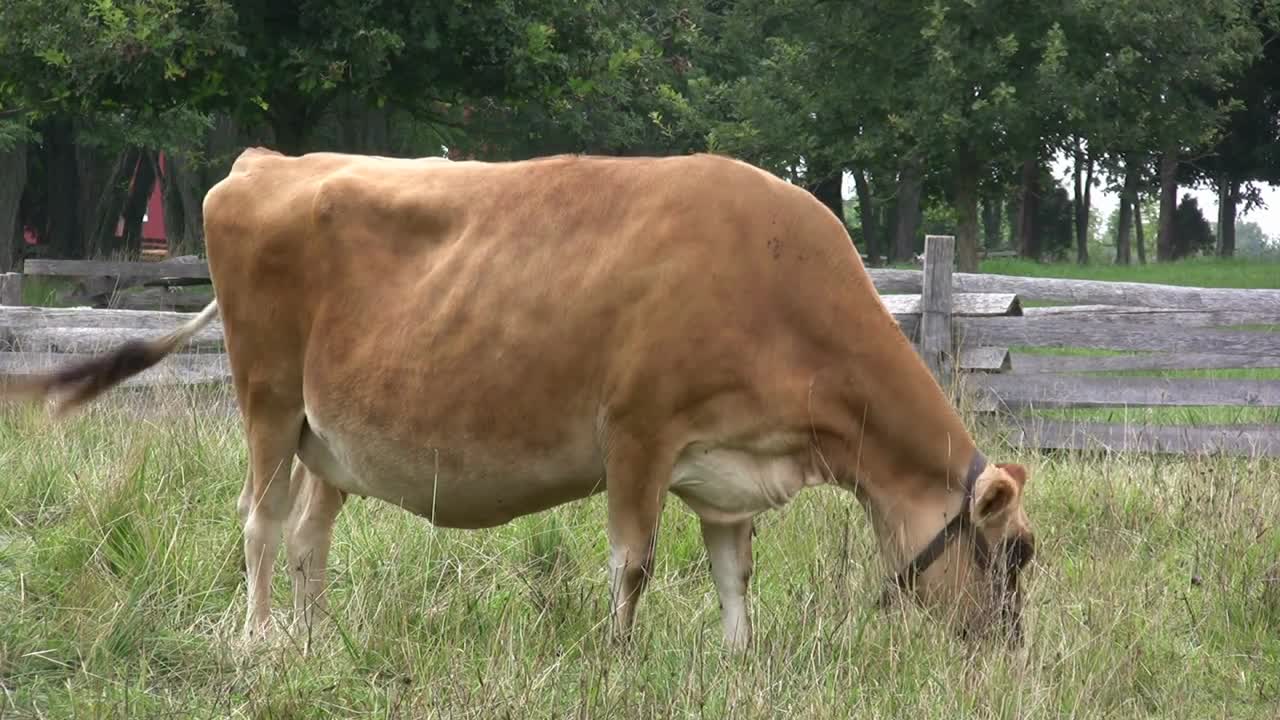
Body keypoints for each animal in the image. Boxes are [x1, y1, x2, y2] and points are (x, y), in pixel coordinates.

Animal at [2, 148, 1029, 648]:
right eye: (1017, 553)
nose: (1007, 652)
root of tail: (263, 161)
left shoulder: (728, 463)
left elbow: (734, 574)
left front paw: (739, 664)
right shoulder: (638, 433)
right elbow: (631, 566)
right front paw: (620, 662)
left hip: (327, 433)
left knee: (306, 534)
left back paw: (315, 637)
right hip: (265, 396)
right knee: (258, 520)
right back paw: (260, 643)